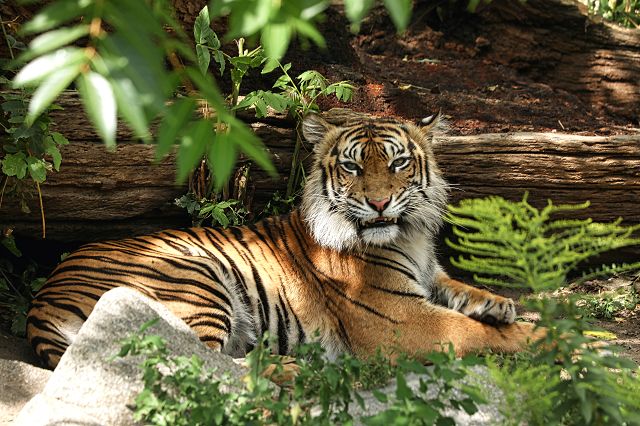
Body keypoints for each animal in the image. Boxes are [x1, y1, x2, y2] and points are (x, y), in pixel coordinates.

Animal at [27, 110, 540, 369]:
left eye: (398, 163)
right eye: (352, 166)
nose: (379, 203)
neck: (406, 237)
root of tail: (41, 303)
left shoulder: (428, 276)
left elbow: (462, 290)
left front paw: (500, 304)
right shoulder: (400, 321)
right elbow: (480, 333)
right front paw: (549, 336)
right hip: (191, 281)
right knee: (206, 365)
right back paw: (297, 369)